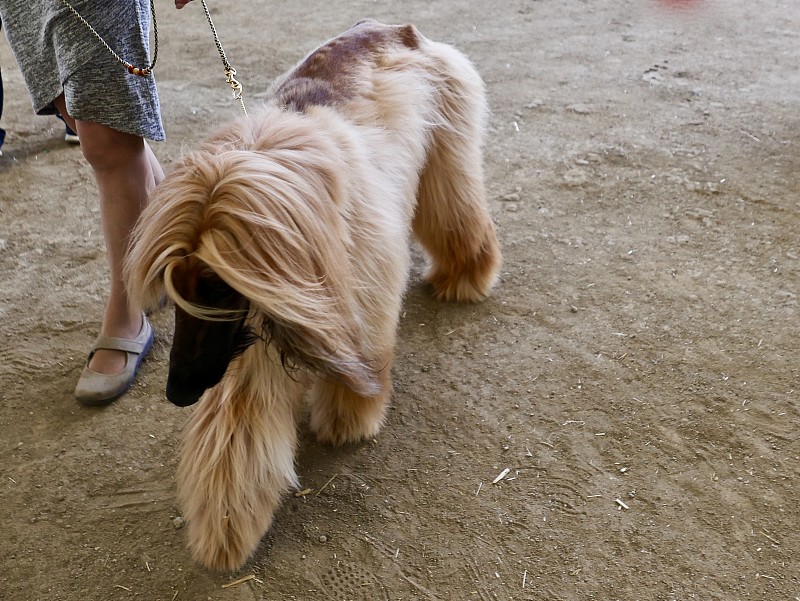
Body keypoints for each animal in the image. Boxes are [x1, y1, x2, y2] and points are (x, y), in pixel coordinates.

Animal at [125, 18, 500, 568]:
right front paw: (226, 524)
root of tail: (393, 26)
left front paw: (349, 416)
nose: (178, 393)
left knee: (454, 206)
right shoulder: (262, 322)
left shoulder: (339, 288)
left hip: (445, 140)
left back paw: (468, 273)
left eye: (217, 286)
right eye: (177, 292)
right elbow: (241, 418)